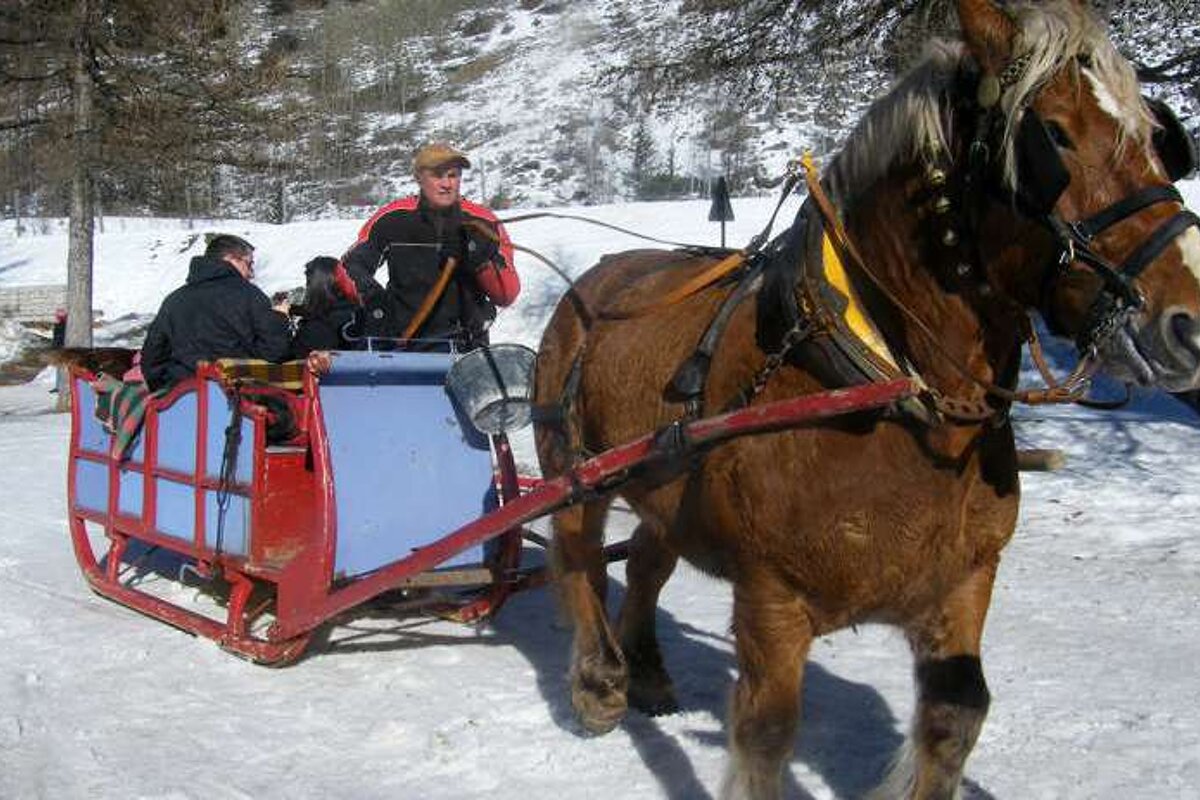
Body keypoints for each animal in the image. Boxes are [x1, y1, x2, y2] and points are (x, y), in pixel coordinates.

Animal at [535, 3, 1200, 796]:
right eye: (1056, 136)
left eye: (1160, 138)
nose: (1188, 323)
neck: (892, 388)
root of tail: (595, 278)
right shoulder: (772, 603)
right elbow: (765, 738)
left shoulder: (964, 584)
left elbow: (955, 716)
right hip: (574, 465)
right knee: (576, 550)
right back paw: (600, 681)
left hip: (667, 476)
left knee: (645, 557)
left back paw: (646, 671)